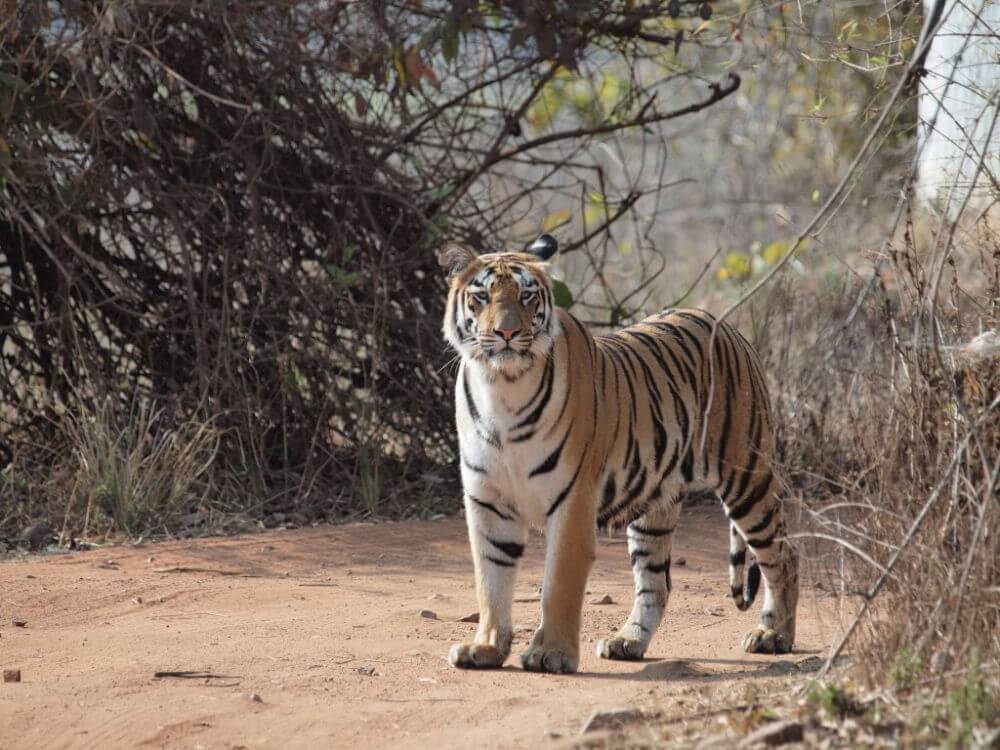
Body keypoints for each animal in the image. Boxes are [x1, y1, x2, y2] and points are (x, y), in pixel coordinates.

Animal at [442, 235, 800, 676]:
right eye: (481, 296)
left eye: (526, 296)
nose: (507, 332)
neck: (502, 386)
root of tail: (724, 324)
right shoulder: (488, 500)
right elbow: (490, 580)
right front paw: (486, 648)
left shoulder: (572, 500)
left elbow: (558, 585)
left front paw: (551, 654)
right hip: (654, 506)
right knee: (656, 582)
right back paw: (628, 641)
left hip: (746, 477)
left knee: (783, 556)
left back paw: (774, 635)